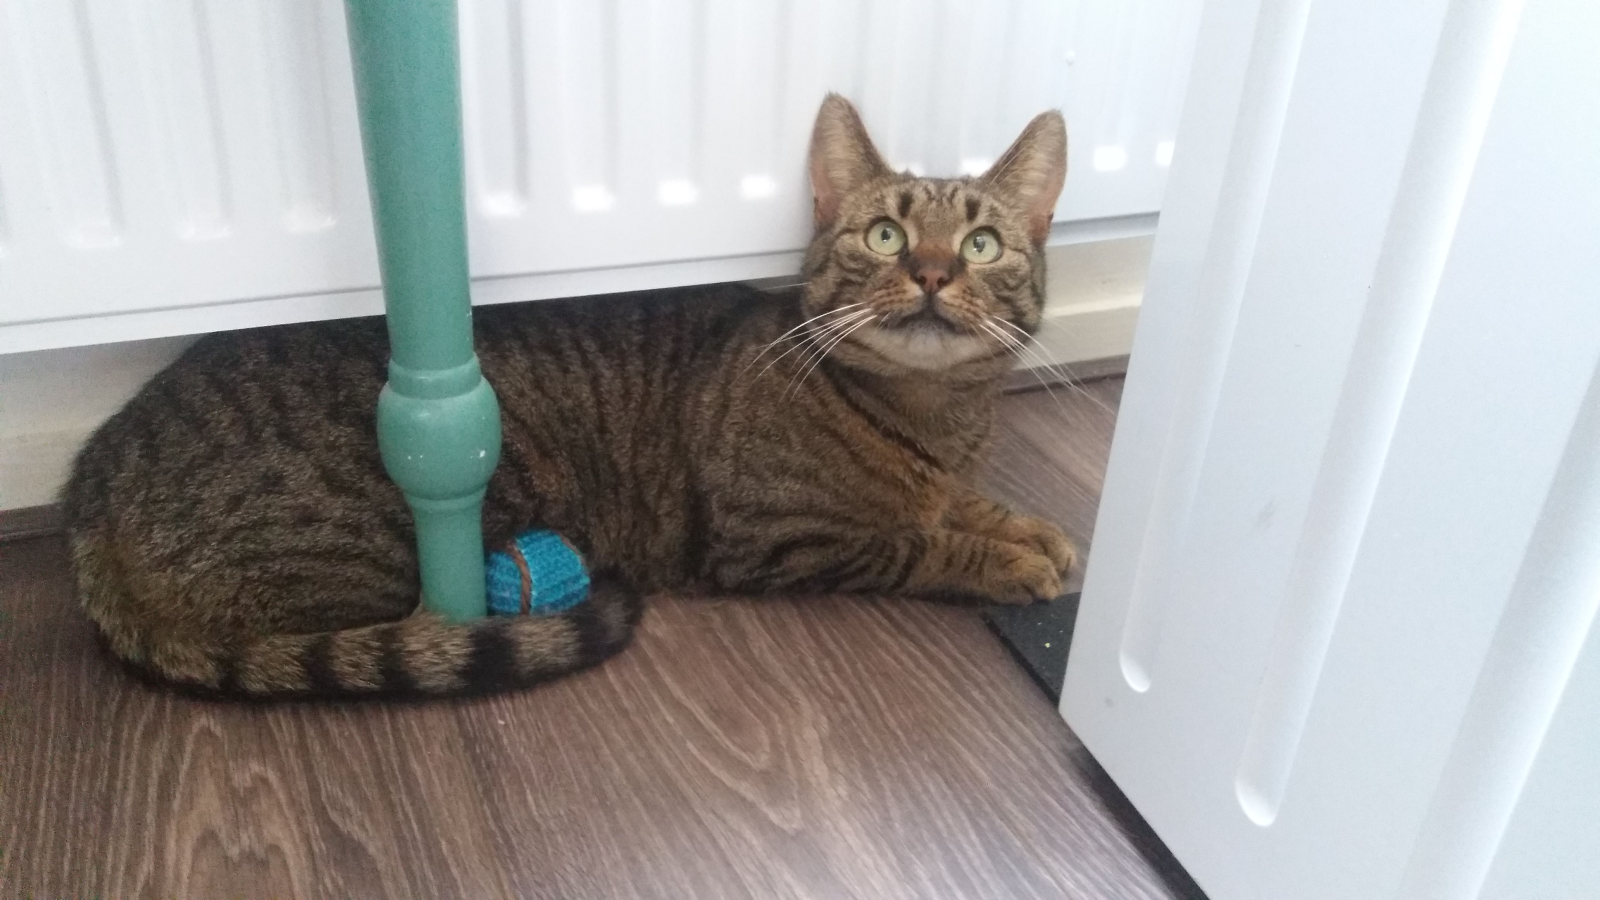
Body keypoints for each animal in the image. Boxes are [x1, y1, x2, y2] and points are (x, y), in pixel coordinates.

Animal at [62, 94, 1073, 700]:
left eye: (981, 245)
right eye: (885, 234)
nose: (935, 272)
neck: (930, 417)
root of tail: (91, 485)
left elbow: (964, 504)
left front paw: (1032, 528)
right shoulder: (781, 540)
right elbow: (917, 542)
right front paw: (1006, 560)